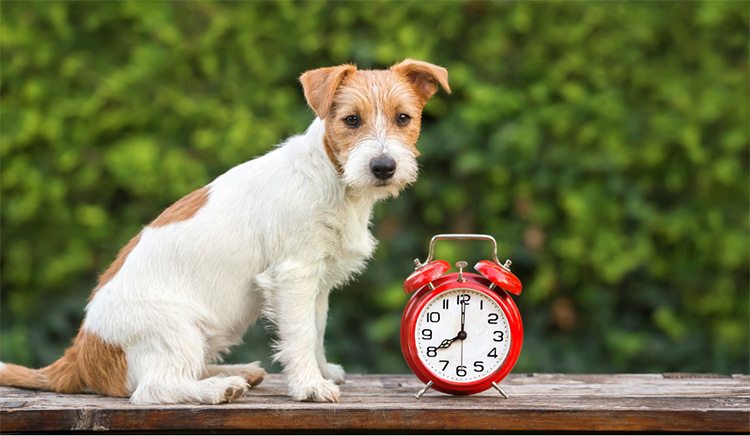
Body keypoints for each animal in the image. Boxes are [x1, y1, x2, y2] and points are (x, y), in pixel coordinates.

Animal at [0, 59, 450, 404]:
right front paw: (309, 385)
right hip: (176, 328)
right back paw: (220, 387)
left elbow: (315, 330)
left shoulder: (317, 282)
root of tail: (79, 353)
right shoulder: (295, 276)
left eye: (404, 118)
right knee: (154, 389)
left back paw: (238, 372)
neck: (334, 180)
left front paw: (320, 371)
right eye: (351, 120)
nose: (383, 167)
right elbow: (300, 333)